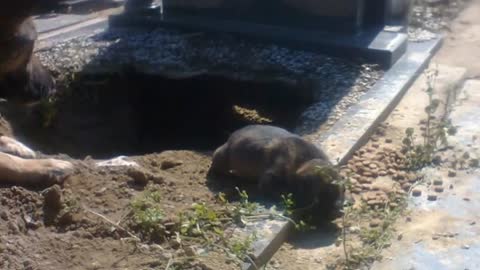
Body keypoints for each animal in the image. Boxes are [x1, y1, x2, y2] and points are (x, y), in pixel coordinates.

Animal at [210, 124, 344, 215]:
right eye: (326, 191)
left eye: (344, 189)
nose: (340, 209)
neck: (304, 160)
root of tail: (231, 136)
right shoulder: (272, 175)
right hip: (221, 157)